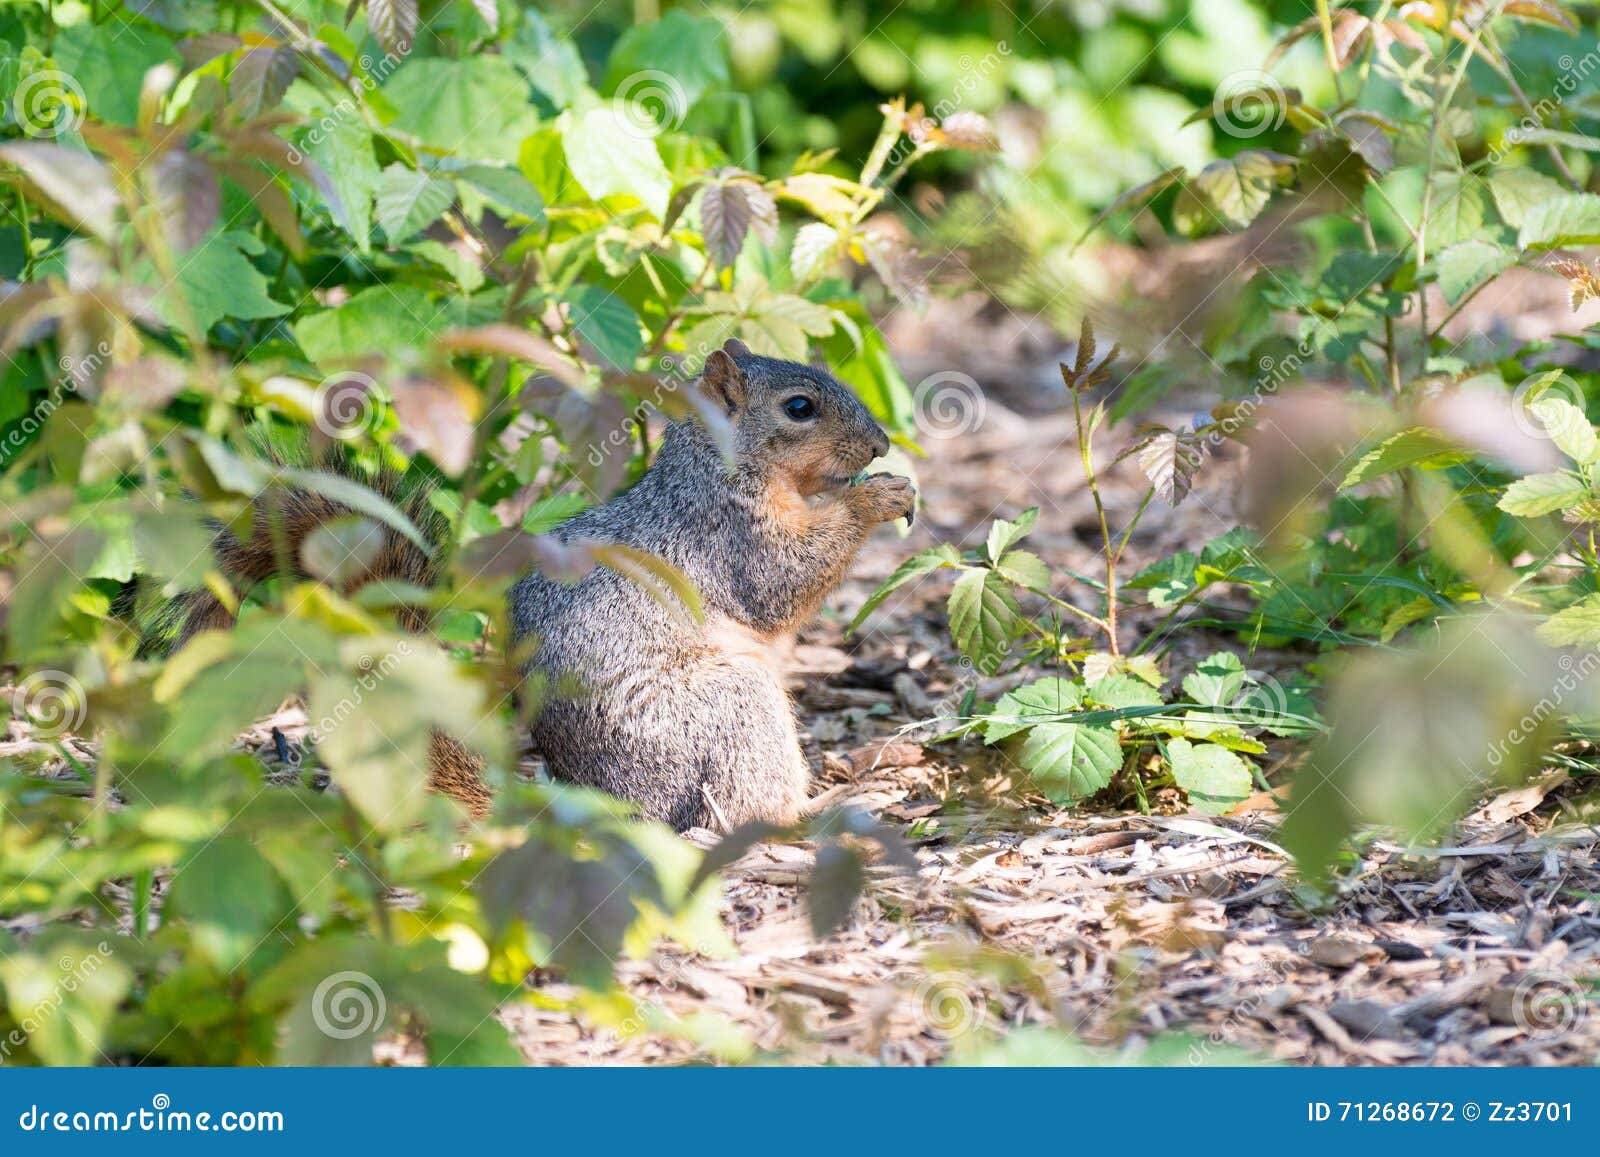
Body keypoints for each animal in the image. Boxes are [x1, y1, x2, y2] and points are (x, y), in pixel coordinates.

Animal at [163, 340, 914, 830]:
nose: (879, 444)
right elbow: (783, 579)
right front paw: (875, 498)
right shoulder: (727, 530)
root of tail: (622, 806)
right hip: (732, 706)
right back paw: (821, 806)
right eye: (799, 407)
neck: (714, 460)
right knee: (741, 808)